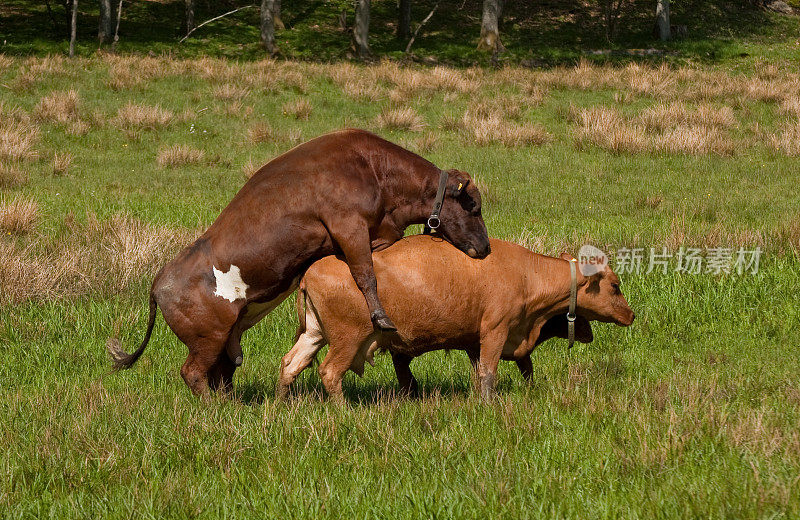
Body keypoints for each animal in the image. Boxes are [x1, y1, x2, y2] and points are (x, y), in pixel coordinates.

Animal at [108, 129, 488, 394]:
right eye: (472, 205)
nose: (485, 247)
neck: (373, 169)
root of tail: (160, 282)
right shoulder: (349, 227)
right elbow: (365, 274)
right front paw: (381, 316)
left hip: (224, 340)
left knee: (222, 372)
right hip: (207, 339)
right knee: (193, 373)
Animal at [278, 236, 636, 402]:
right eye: (615, 286)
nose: (631, 314)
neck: (527, 274)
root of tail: (311, 271)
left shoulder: (474, 343)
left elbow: (481, 374)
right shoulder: (495, 331)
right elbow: (489, 374)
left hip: (314, 334)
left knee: (291, 363)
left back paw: (283, 402)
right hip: (347, 339)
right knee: (329, 372)